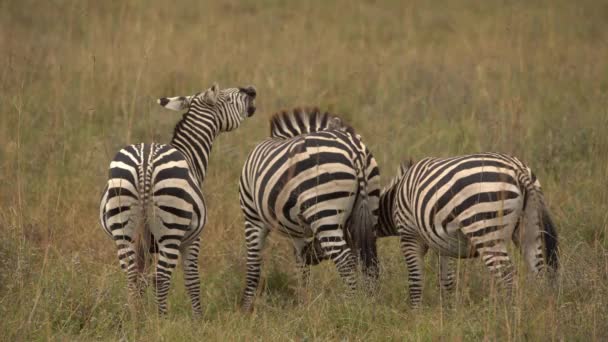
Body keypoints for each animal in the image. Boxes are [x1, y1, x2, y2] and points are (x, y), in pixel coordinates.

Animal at [98, 83, 255, 316]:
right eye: (228, 97)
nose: (252, 90)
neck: (190, 157)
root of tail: (145, 163)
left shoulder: (145, 242)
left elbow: (142, 278)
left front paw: (140, 313)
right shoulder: (192, 239)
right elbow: (192, 280)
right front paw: (198, 318)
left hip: (123, 227)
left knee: (132, 274)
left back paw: (134, 317)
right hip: (171, 231)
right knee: (161, 278)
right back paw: (161, 319)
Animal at [238, 108, 380, 312]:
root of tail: (354, 150)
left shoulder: (252, 216)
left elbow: (253, 263)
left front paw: (246, 307)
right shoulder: (298, 232)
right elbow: (301, 265)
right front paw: (303, 304)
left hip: (324, 212)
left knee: (345, 260)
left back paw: (350, 305)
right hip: (369, 207)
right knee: (368, 258)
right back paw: (368, 303)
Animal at [378, 152, 560, 308]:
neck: (394, 200)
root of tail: (517, 169)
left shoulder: (410, 236)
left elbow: (415, 280)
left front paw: (416, 314)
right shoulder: (442, 242)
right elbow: (447, 280)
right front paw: (448, 311)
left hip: (484, 229)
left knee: (508, 276)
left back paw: (507, 316)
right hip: (530, 227)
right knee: (539, 272)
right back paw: (538, 313)